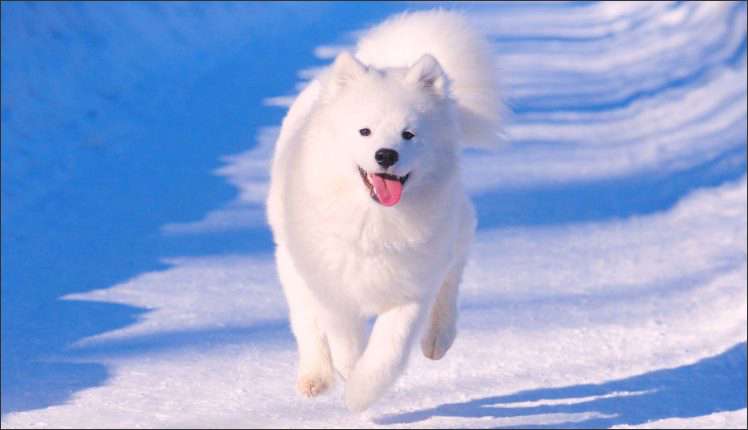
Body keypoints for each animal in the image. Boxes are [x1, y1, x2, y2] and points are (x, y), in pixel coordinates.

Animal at [266, 10, 500, 412]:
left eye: (409, 134)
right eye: (365, 131)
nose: (386, 155)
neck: (374, 222)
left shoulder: (409, 291)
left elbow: (387, 353)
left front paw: (361, 395)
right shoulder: (335, 291)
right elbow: (345, 345)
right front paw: (347, 379)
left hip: (454, 233)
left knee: (451, 278)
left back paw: (437, 339)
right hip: (291, 263)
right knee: (306, 323)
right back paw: (315, 378)